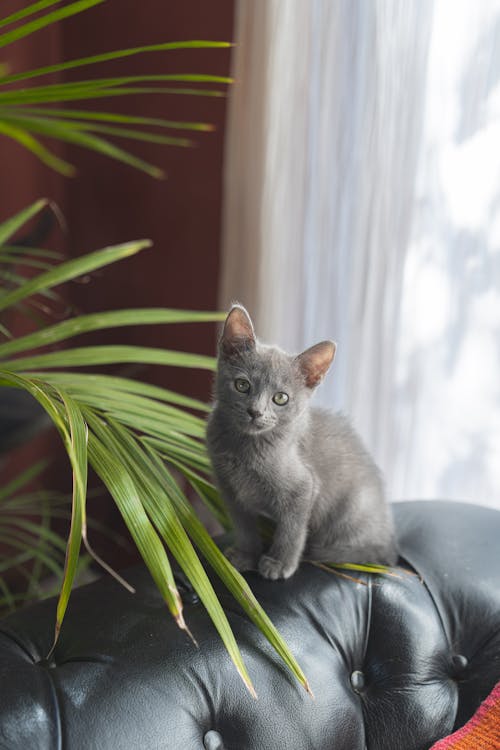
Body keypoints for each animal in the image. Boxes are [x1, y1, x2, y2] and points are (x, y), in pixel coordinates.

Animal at [205, 306, 396, 580]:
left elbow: (292, 530)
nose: (255, 412)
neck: (245, 447)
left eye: (280, 398)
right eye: (242, 385)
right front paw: (245, 555)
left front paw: (279, 563)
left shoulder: (303, 489)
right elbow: (243, 526)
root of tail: (390, 542)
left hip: (354, 507)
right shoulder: (229, 490)